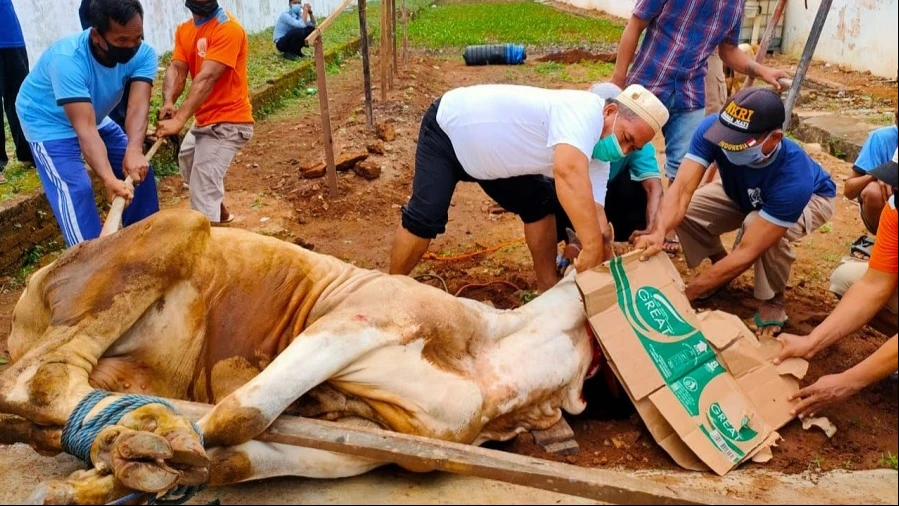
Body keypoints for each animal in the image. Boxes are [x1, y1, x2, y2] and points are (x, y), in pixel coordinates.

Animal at [3, 209, 600, 502]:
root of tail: (34, 282)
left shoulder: (372, 442)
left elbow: (235, 457)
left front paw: (113, 475)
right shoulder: (358, 318)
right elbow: (240, 415)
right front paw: (150, 448)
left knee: (44, 406)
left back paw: (108, 436)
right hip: (180, 223)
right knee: (36, 382)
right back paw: (138, 426)